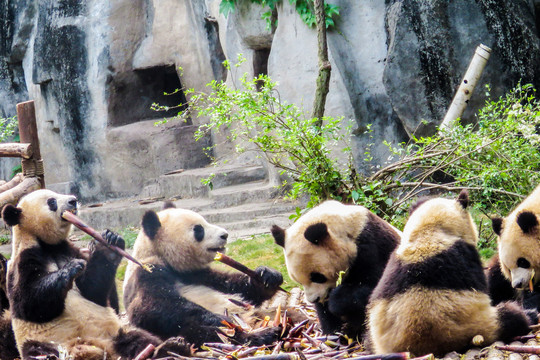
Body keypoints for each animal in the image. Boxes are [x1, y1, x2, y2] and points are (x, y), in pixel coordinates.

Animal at [1, 190, 192, 358]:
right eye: (51, 201)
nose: (73, 200)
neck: (48, 245)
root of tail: (96, 349)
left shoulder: (68, 249)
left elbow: (92, 290)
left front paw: (109, 241)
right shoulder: (24, 259)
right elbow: (29, 302)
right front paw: (71, 269)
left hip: (115, 333)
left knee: (139, 339)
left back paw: (171, 346)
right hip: (46, 341)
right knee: (39, 350)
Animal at [122, 202, 282, 346]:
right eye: (199, 230)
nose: (225, 235)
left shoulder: (197, 274)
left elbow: (235, 286)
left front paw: (268, 277)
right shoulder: (146, 271)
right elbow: (151, 306)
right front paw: (221, 318)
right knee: (207, 333)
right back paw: (261, 335)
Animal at [270, 200, 400, 338]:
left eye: (317, 277)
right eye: (299, 281)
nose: (313, 299)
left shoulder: (373, 248)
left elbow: (376, 288)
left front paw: (336, 302)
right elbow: (324, 312)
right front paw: (331, 332)